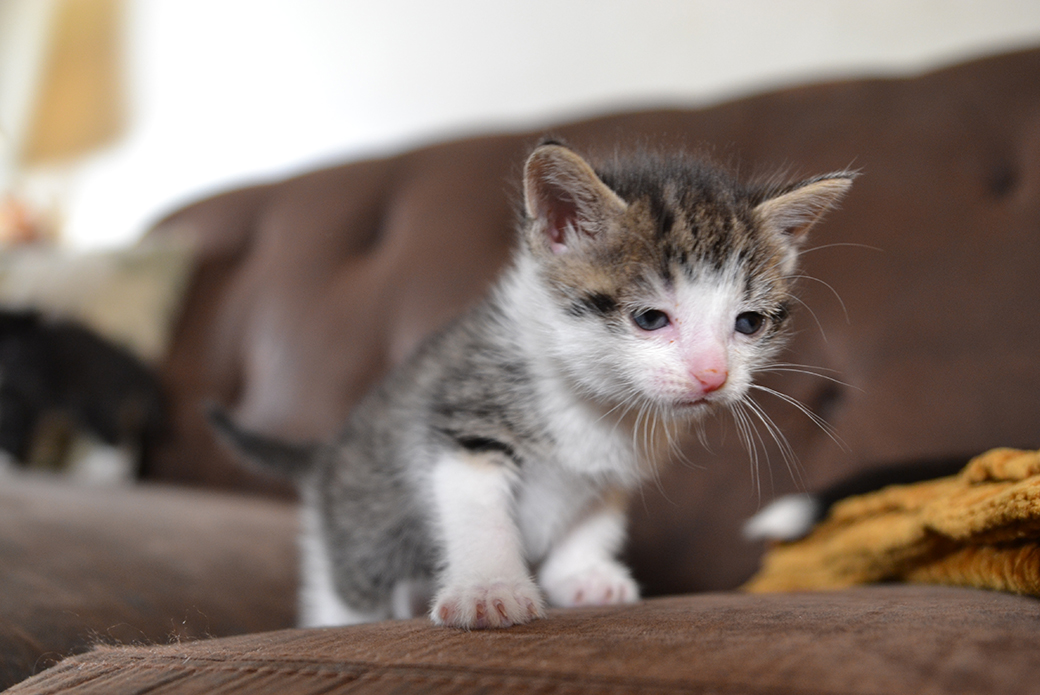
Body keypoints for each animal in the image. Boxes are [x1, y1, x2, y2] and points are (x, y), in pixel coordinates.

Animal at [213, 142, 852, 628]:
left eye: (748, 324)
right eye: (650, 318)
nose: (713, 373)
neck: (592, 404)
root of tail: (323, 459)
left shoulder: (611, 470)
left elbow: (594, 520)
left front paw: (584, 577)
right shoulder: (465, 419)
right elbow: (478, 514)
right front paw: (490, 590)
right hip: (357, 547)